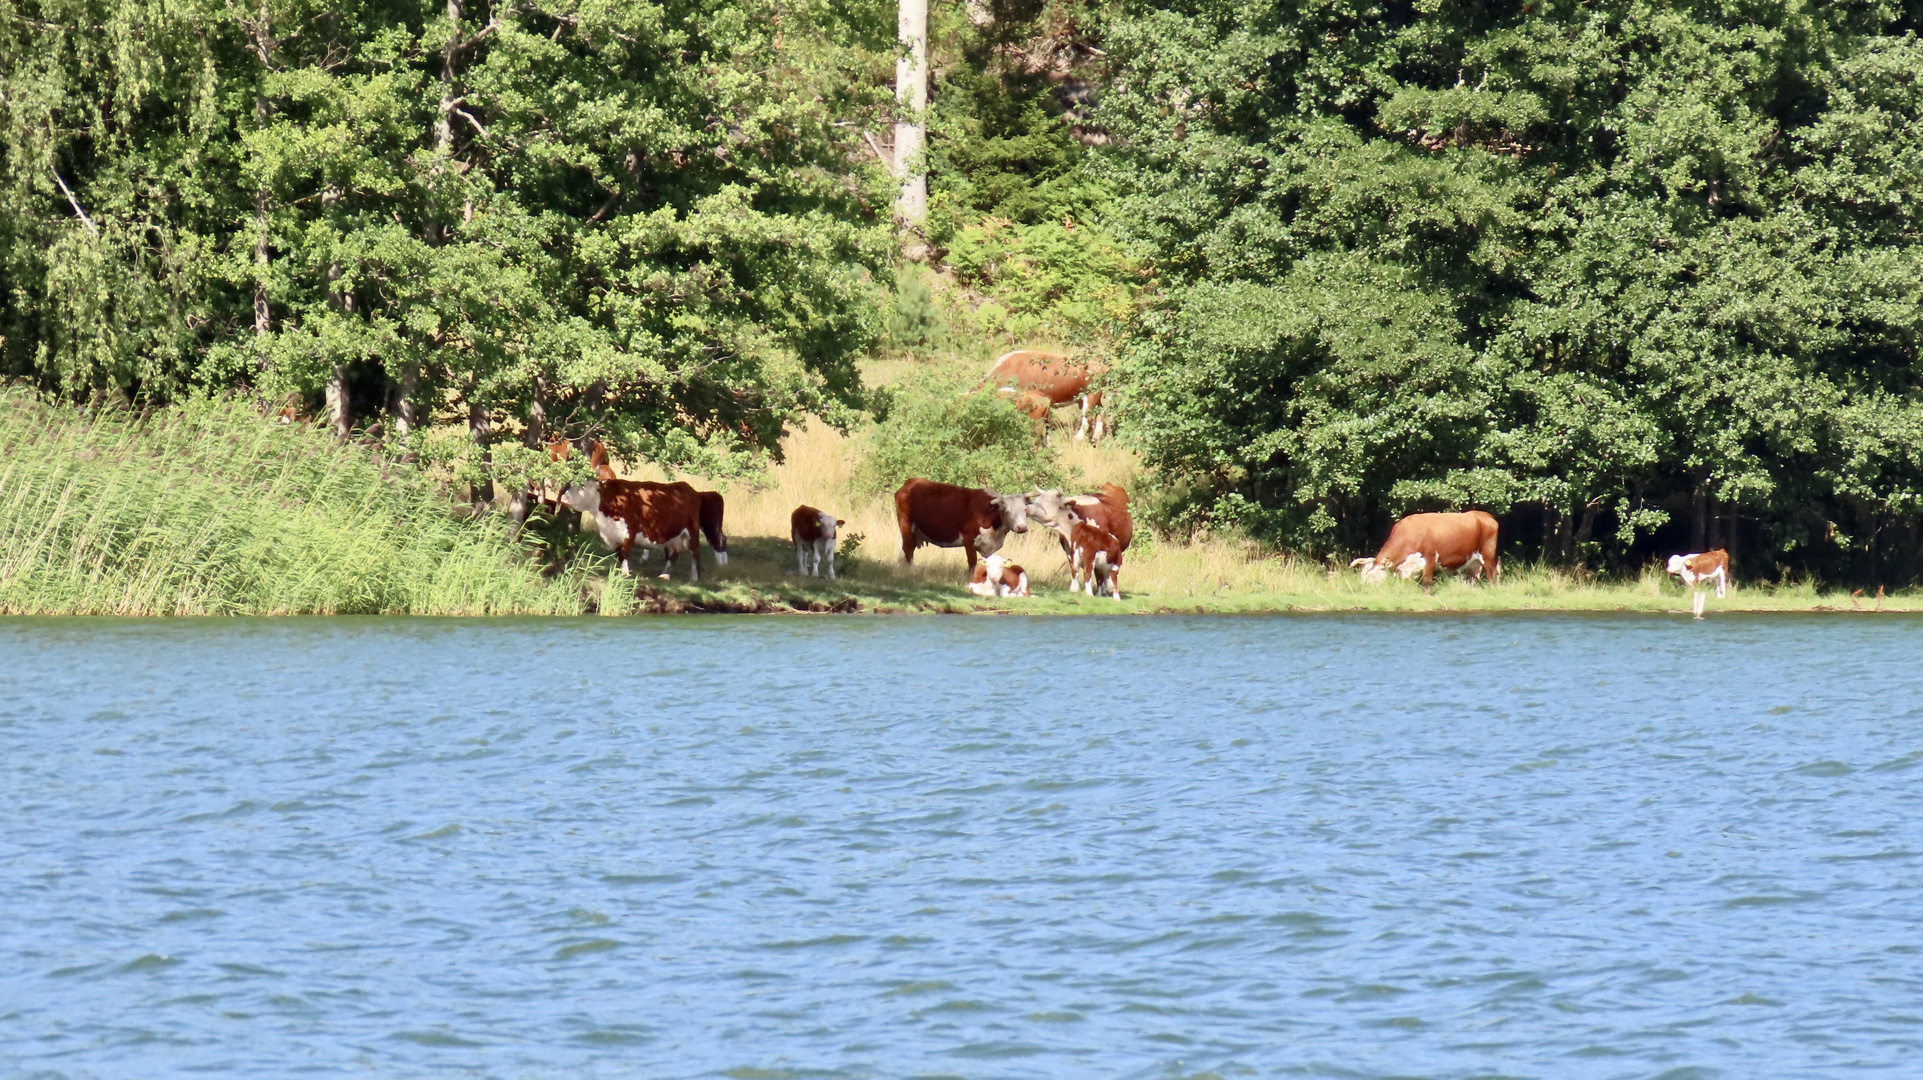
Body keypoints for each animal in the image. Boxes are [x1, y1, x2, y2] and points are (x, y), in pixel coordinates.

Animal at [892, 474, 1030, 568]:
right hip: (906, 525)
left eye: (1025, 510)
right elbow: (972, 563)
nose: (1022, 527)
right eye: (1007, 511)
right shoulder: (969, 540)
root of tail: (909, 483)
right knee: (908, 549)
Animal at [1346, 507, 1492, 584]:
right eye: (1362, 573)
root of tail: (1485, 515)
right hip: (1474, 563)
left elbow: (1427, 582)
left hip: (1489, 557)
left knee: (1492, 576)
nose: (1362, 586)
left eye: (1372, 575)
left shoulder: (1430, 559)